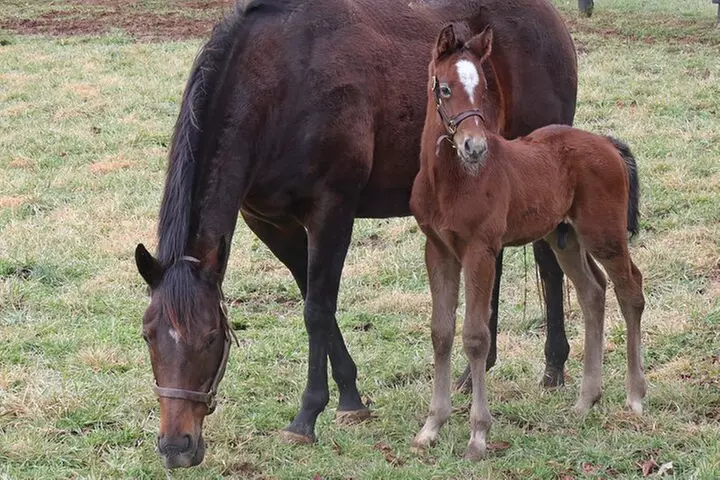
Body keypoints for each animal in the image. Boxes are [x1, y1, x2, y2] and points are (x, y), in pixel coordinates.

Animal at [133, 0, 578, 468]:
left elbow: (317, 310)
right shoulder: (272, 224)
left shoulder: (332, 210)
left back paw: (554, 365)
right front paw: (350, 396)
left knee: (549, 264)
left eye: (211, 337)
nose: (176, 447)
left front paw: (307, 417)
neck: (277, 82)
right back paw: (474, 370)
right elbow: (314, 302)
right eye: (147, 335)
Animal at [409, 23, 646, 460]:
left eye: (484, 86)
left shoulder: (481, 250)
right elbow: (441, 332)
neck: (451, 182)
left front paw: (478, 436)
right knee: (593, 292)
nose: (474, 146)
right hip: (564, 237)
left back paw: (636, 396)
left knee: (630, 289)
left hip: (603, 233)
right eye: (445, 88)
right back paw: (585, 400)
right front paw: (431, 427)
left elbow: (476, 336)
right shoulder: (438, 250)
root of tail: (607, 143)